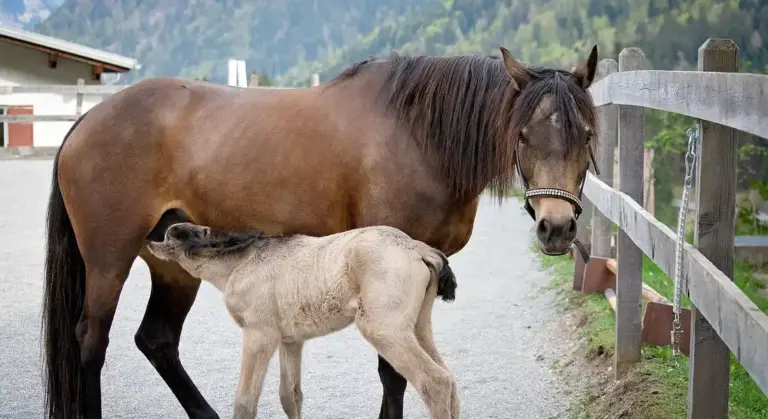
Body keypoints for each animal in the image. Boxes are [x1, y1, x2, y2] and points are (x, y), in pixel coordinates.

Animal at [145, 222, 460, 419]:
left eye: (171, 236)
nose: (149, 239)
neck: (240, 263)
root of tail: (418, 249)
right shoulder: (290, 341)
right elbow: (290, 396)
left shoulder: (260, 334)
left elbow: (245, 401)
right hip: (417, 327)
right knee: (449, 380)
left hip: (382, 329)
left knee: (435, 381)